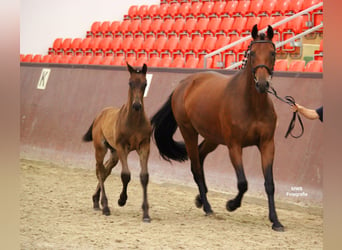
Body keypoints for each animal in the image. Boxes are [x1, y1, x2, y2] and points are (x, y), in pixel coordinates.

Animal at [82, 63, 152, 222]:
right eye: (130, 83)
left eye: (145, 83)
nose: (137, 105)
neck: (134, 121)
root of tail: (100, 114)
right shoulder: (122, 147)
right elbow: (125, 175)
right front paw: (122, 200)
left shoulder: (144, 146)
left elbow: (144, 177)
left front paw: (146, 214)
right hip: (101, 148)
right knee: (100, 170)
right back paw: (105, 206)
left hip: (113, 153)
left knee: (105, 170)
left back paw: (96, 201)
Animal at [151, 25, 284, 230]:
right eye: (252, 53)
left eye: (272, 52)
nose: (262, 84)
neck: (252, 104)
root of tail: (183, 84)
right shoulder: (234, 146)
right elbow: (243, 183)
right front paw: (231, 204)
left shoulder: (267, 144)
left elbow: (269, 183)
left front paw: (275, 221)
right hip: (189, 132)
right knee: (196, 168)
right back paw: (207, 207)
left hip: (212, 138)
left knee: (200, 157)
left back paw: (201, 198)